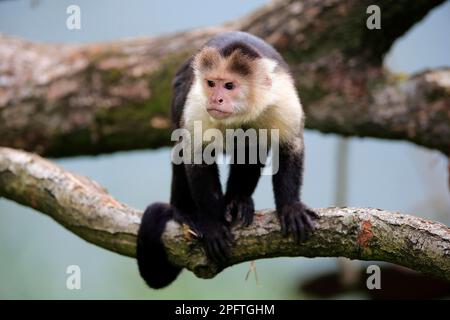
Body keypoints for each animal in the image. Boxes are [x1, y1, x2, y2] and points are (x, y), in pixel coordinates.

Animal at [136, 31, 316, 288]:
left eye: (229, 86)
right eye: (212, 84)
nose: (216, 99)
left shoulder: (282, 100)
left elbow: (289, 147)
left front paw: (290, 207)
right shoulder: (197, 104)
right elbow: (195, 156)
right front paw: (213, 225)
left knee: (252, 146)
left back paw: (237, 202)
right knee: (180, 147)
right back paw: (184, 211)